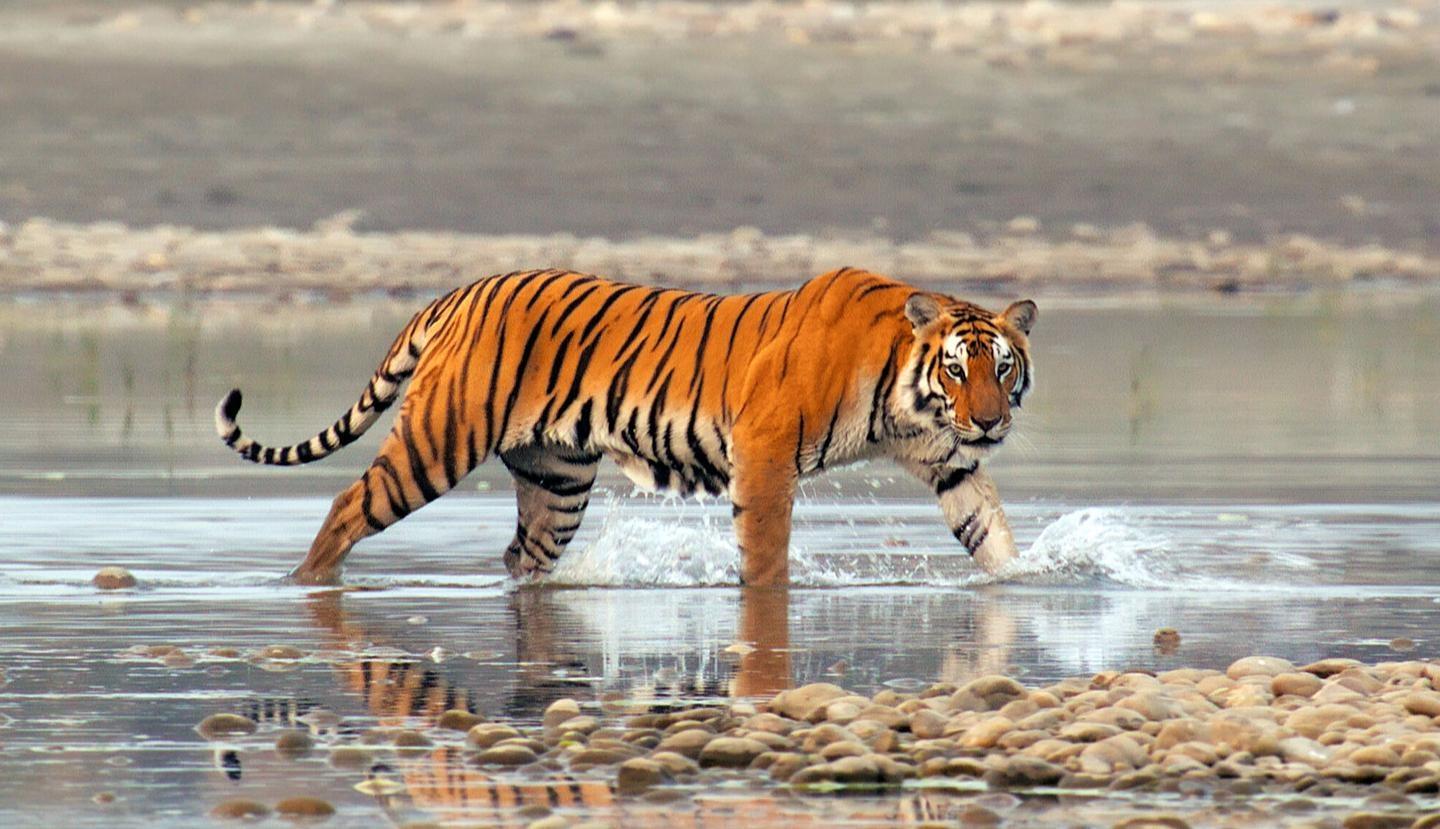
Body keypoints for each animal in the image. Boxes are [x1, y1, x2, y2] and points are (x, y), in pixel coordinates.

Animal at [215, 267, 1037, 586]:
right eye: (957, 370)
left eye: (1003, 368)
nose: (989, 421)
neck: (907, 394)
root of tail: (458, 291)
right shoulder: (765, 452)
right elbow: (766, 551)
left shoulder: (947, 458)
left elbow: (986, 525)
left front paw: (1024, 582)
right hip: (437, 442)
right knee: (347, 505)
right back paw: (306, 584)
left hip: (556, 480)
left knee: (522, 557)